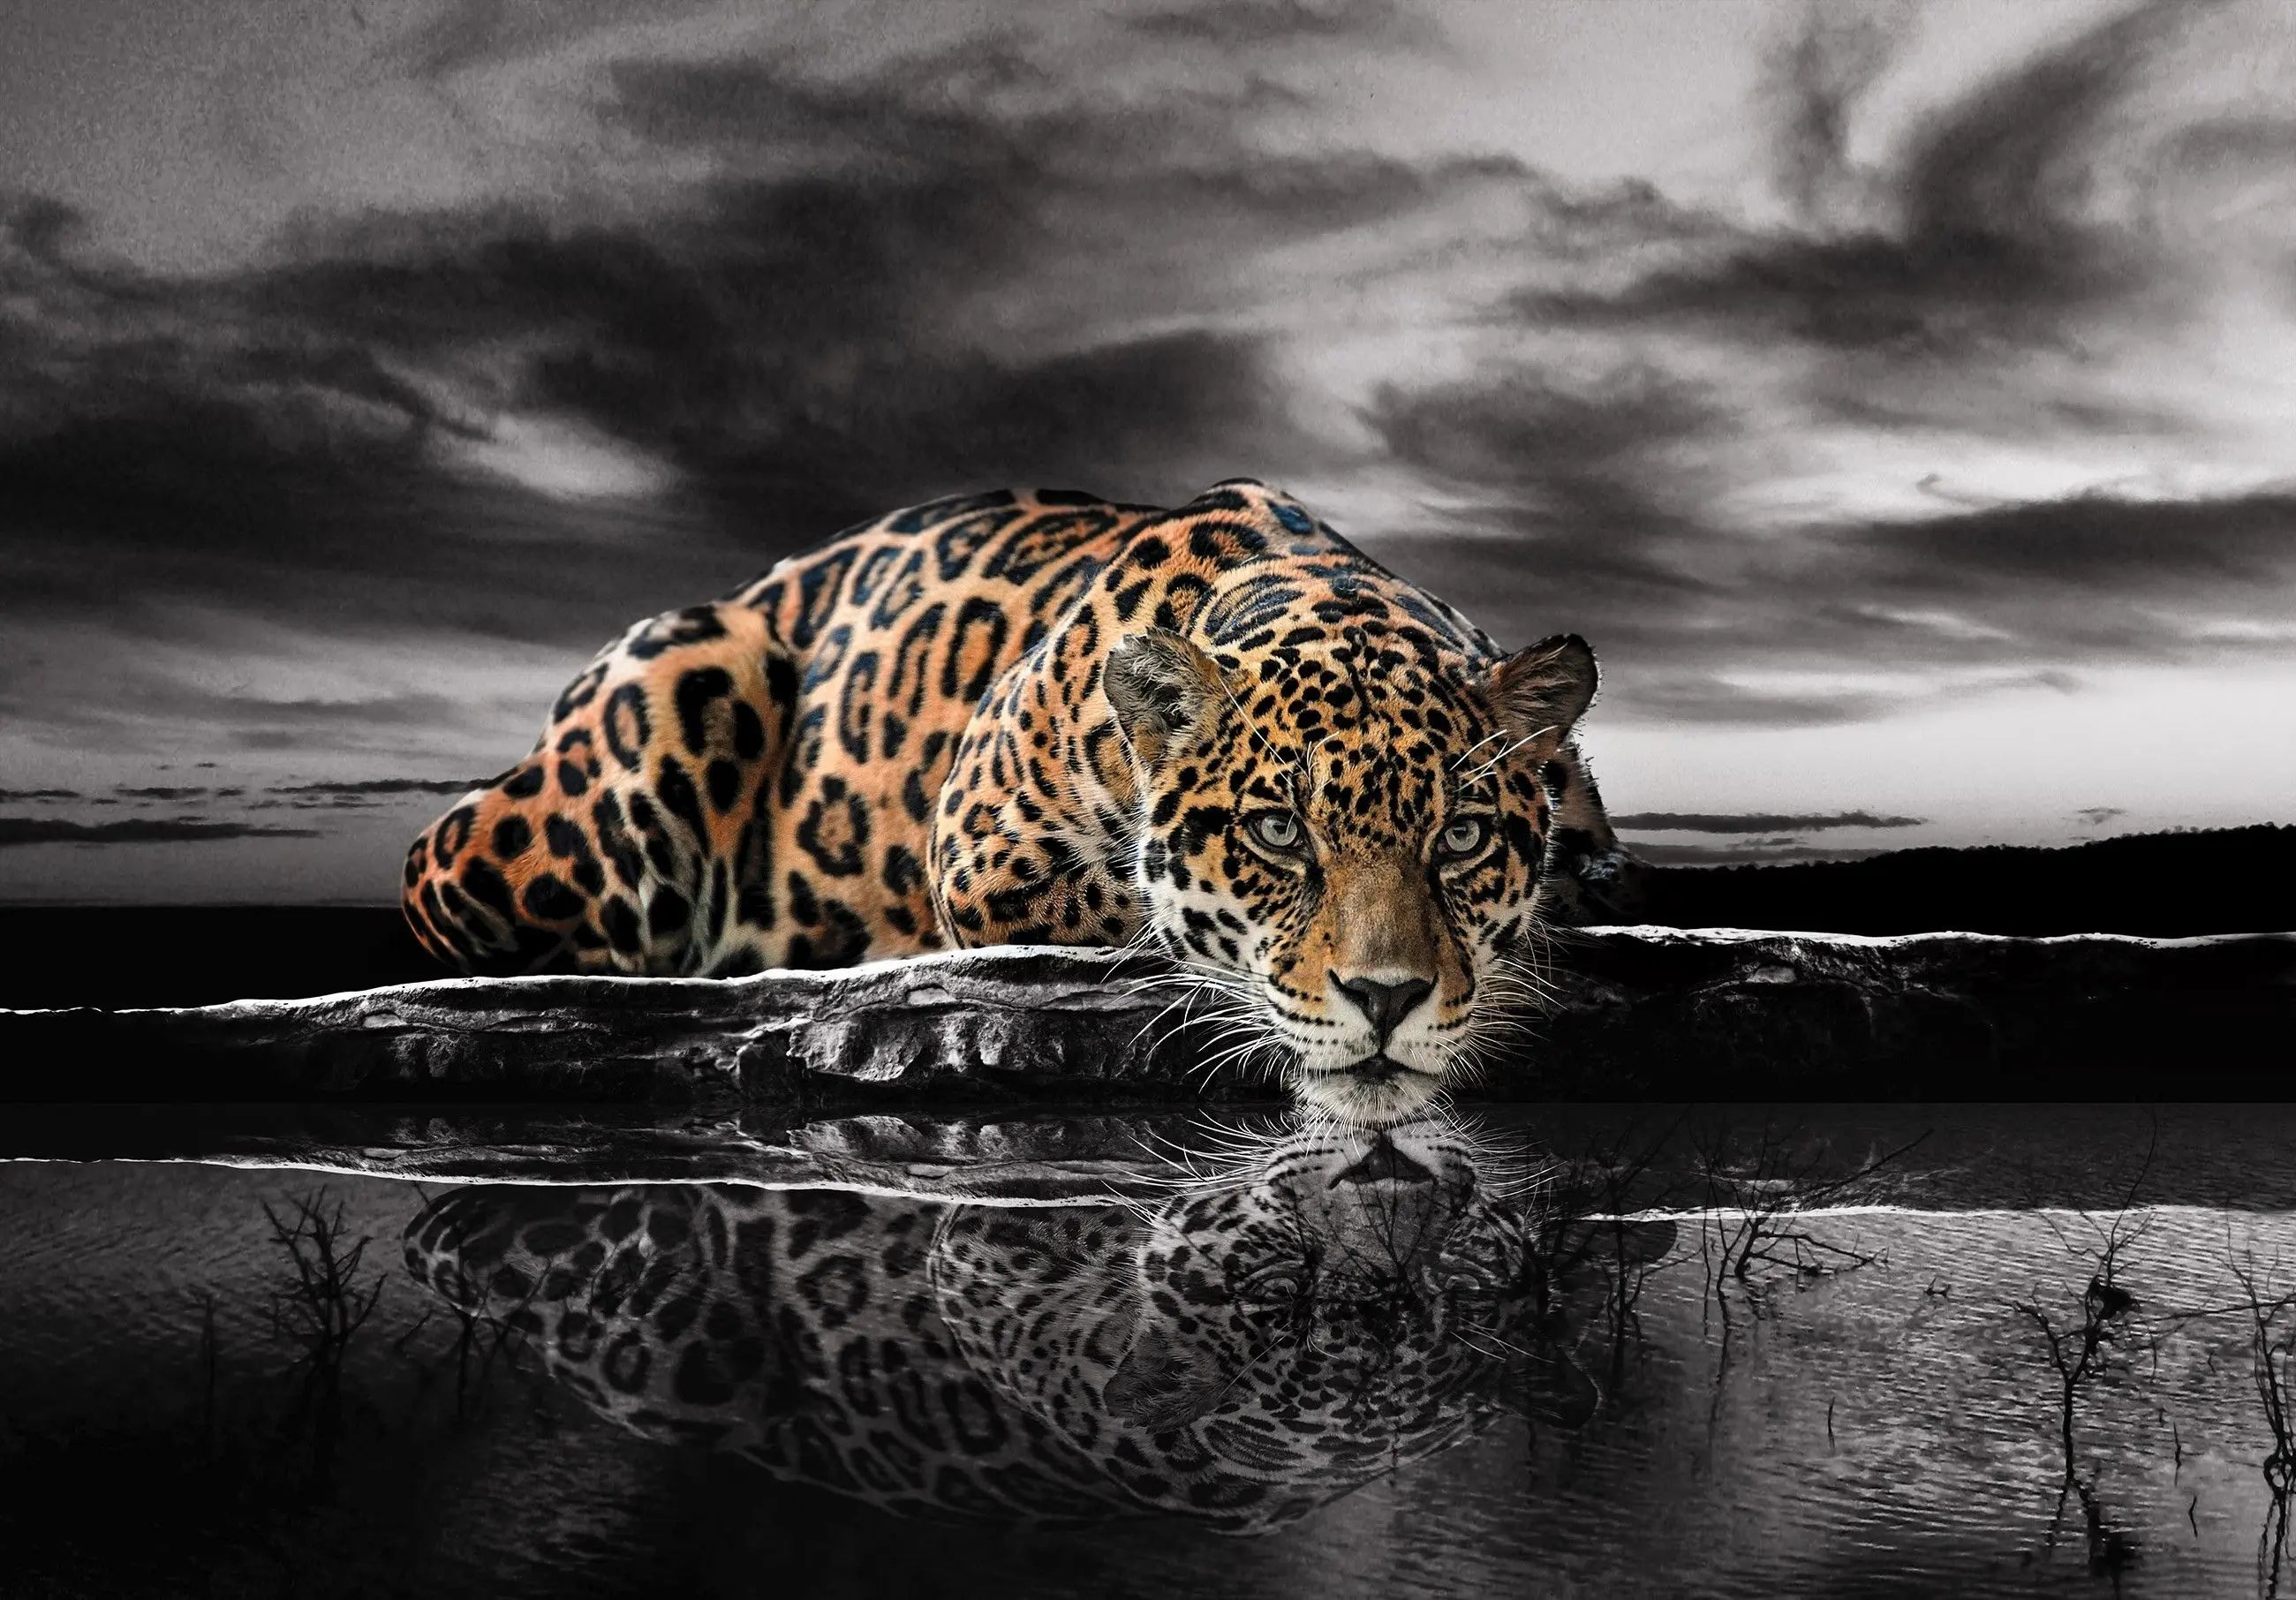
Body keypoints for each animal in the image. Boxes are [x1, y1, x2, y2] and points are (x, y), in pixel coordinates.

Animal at [402, 478, 1642, 1125]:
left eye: (1461, 837)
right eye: (1276, 834)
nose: (1387, 999)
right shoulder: (983, 854)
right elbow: (1139, 912)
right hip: (654, 711)